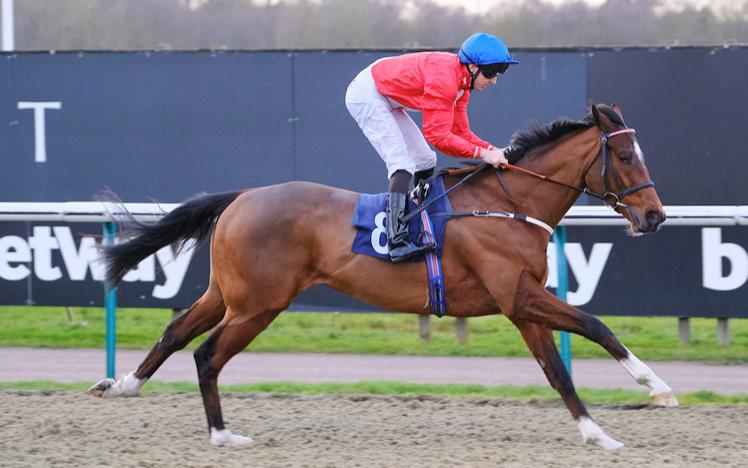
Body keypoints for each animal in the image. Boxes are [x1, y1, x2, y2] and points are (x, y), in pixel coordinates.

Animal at [90, 103, 676, 450]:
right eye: (626, 155)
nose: (655, 216)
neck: (508, 205)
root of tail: (241, 197)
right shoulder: (519, 296)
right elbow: (596, 325)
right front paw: (657, 388)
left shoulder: (519, 302)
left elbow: (558, 371)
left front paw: (597, 433)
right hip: (259, 304)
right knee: (207, 354)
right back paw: (222, 435)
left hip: (229, 293)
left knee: (175, 332)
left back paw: (123, 385)